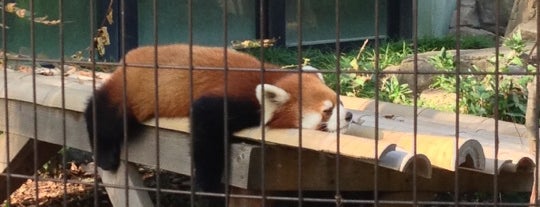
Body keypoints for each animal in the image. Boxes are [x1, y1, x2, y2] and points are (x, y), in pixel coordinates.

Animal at [83, 44, 354, 194]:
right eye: (327, 111)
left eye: (340, 103)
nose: (349, 115)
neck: (272, 78)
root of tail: (129, 57)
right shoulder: (232, 98)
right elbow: (205, 127)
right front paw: (208, 185)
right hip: (134, 89)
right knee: (105, 114)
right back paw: (105, 153)